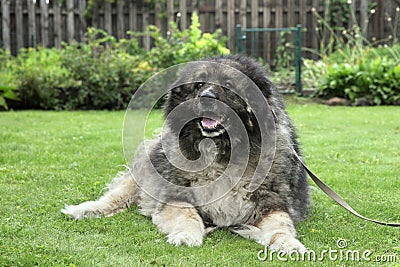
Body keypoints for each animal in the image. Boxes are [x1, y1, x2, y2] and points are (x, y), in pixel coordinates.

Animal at [62, 55, 310, 254]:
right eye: (199, 84)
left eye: (229, 85)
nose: (207, 96)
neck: (219, 151)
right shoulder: (175, 197)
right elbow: (188, 216)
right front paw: (186, 236)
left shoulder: (273, 206)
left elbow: (281, 227)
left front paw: (289, 244)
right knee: (113, 198)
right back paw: (83, 210)